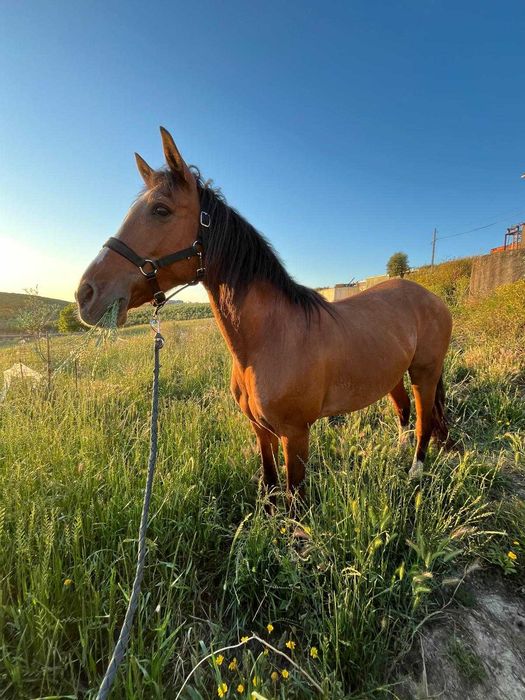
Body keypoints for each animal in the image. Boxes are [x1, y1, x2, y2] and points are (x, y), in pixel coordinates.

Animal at [76, 127, 452, 506]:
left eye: (161, 210)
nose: (86, 295)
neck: (269, 340)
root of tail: (431, 298)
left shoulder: (295, 435)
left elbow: (295, 501)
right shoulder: (261, 429)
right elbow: (270, 484)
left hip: (424, 374)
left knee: (424, 421)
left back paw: (415, 471)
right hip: (394, 374)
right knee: (404, 411)